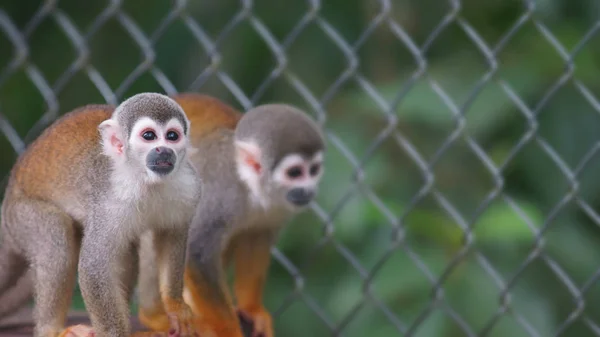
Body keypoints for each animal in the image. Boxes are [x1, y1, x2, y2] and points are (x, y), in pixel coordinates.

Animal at [0, 93, 203, 336]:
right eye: (149, 136)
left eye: (172, 136)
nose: (164, 150)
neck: (145, 179)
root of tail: (11, 189)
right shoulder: (108, 200)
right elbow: (94, 266)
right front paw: (115, 332)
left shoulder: (188, 187)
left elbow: (171, 236)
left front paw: (175, 306)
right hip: (22, 216)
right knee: (57, 236)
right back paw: (52, 330)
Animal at [136, 93, 326, 336]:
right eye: (295, 173)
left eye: (313, 170)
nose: (308, 190)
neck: (250, 187)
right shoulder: (219, 192)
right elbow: (197, 252)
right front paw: (228, 330)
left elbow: (256, 239)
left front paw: (252, 308)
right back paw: (153, 316)